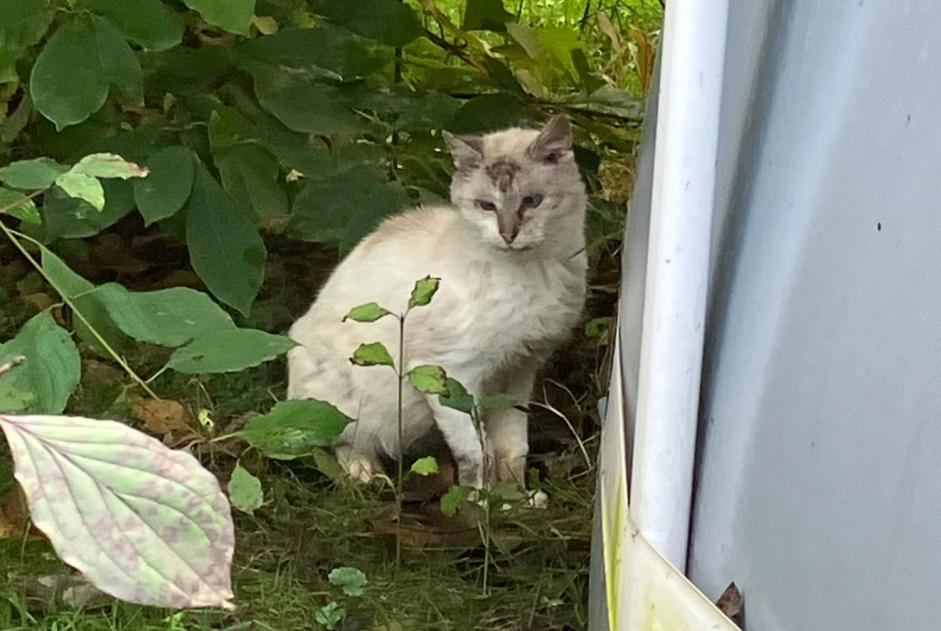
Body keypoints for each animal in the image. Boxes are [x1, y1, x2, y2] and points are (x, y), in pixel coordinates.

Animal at [284, 115, 588, 498]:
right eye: (486, 206)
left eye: (532, 201)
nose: (508, 235)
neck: (532, 272)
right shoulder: (452, 375)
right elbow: (477, 454)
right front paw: (479, 503)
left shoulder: (519, 369)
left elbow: (512, 447)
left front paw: (516, 500)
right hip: (345, 404)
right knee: (339, 442)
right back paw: (365, 473)